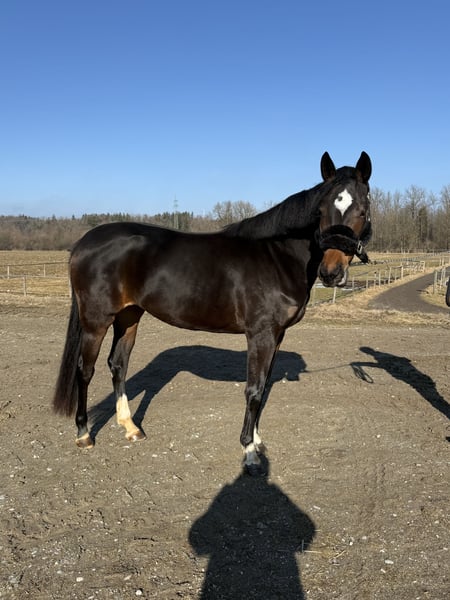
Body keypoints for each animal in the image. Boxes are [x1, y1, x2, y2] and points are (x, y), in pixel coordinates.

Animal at [53, 151, 372, 473]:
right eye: (320, 211)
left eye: (362, 209)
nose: (331, 273)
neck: (277, 256)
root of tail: (83, 243)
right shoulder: (261, 334)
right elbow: (254, 390)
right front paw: (249, 451)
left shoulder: (276, 335)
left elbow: (264, 386)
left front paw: (257, 441)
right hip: (96, 321)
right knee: (85, 370)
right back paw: (84, 434)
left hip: (129, 316)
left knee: (118, 365)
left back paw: (131, 428)